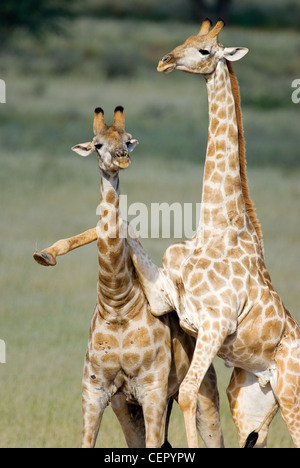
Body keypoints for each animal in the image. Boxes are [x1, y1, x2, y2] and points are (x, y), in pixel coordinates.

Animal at [34, 105, 223, 446]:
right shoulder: (96, 390)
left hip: (204, 390)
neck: (117, 304)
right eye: (97, 145)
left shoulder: (153, 390)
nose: (122, 158)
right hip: (129, 407)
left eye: (127, 140)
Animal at [123, 20, 298, 448]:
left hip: (293, 393)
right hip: (252, 402)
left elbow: (188, 395)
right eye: (186, 39)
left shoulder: (216, 323)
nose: (165, 61)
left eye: (205, 50)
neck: (215, 226)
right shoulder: (167, 301)